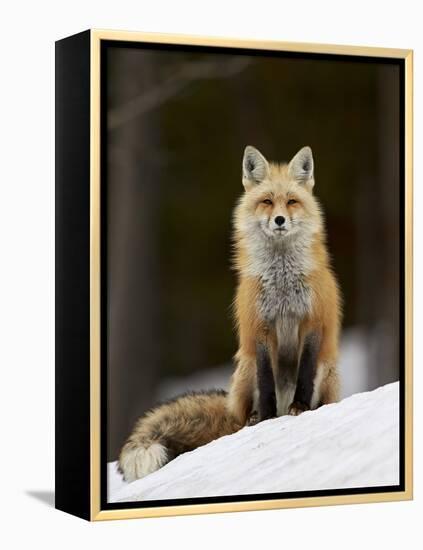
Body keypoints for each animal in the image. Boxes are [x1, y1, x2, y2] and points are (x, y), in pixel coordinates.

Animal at [118, 147, 342, 484]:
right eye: (266, 201)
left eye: (291, 201)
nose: (279, 220)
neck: (282, 281)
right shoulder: (259, 329)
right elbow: (266, 381)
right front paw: (266, 418)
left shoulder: (312, 322)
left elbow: (304, 373)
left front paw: (301, 408)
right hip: (244, 369)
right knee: (245, 410)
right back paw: (253, 419)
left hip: (326, 372)